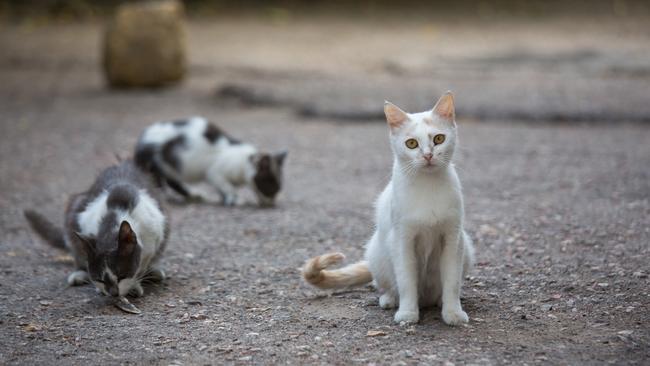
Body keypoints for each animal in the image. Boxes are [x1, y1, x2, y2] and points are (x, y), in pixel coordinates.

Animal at [23, 160, 167, 298]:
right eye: (100, 279)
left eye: (122, 276)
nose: (113, 293)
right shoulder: (84, 220)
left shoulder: (154, 231)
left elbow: (142, 264)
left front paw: (135, 285)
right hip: (75, 208)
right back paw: (79, 274)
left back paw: (153, 271)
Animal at [134, 116, 286, 206]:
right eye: (270, 185)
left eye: (278, 188)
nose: (271, 202)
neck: (243, 161)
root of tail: (141, 141)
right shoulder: (215, 173)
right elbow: (227, 186)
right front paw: (234, 199)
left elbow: (222, 189)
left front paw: (225, 198)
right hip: (158, 163)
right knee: (158, 180)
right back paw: (165, 197)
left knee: (172, 181)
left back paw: (193, 195)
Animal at [302, 91, 474, 326]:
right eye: (411, 143)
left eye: (439, 139)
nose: (428, 155)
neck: (428, 186)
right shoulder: (402, 240)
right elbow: (406, 280)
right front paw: (408, 313)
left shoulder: (452, 238)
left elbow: (452, 282)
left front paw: (453, 313)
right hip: (378, 251)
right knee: (387, 284)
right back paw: (390, 299)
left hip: (467, 247)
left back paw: (438, 301)